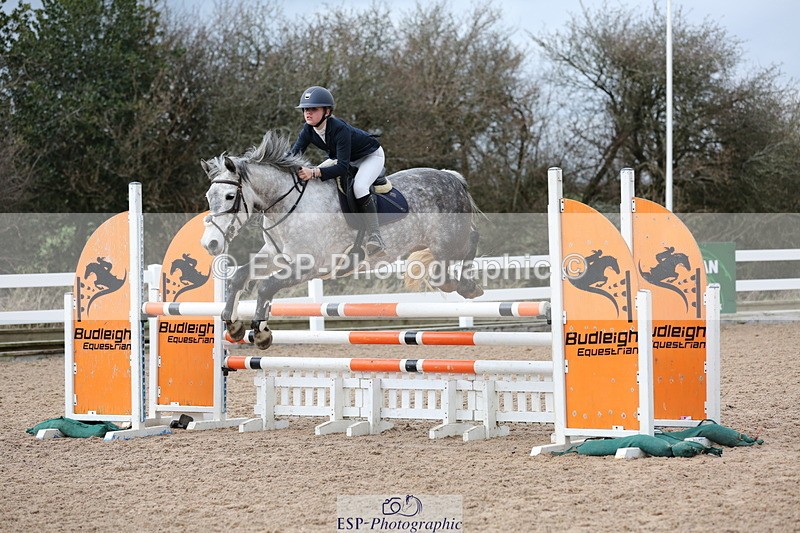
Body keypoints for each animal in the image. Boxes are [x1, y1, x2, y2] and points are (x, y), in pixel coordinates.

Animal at [200, 130, 483, 349]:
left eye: (229, 197)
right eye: (208, 197)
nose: (210, 244)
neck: (288, 204)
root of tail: (451, 177)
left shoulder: (308, 266)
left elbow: (266, 287)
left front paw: (260, 333)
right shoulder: (274, 255)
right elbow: (239, 276)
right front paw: (233, 325)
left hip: (449, 240)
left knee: (468, 245)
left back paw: (469, 286)